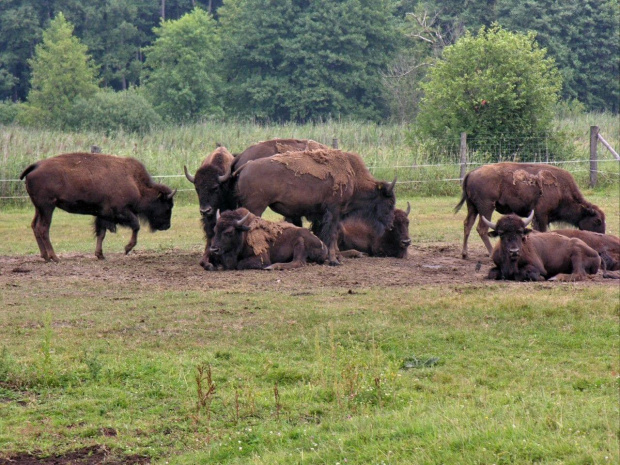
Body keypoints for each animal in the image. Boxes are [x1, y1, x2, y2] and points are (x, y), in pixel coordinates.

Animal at [20, 152, 176, 260]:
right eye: (167, 206)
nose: (167, 226)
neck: (136, 183)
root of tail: (35, 166)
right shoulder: (121, 211)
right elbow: (136, 226)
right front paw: (127, 248)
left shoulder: (102, 214)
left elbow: (101, 234)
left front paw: (100, 255)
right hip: (48, 207)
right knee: (43, 228)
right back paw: (54, 257)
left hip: (39, 208)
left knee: (35, 226)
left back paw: (45, 256)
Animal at [232, 149, 398, 264]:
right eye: (390, 203)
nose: (390, 225)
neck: (353, 177)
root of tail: (246, 166)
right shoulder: (334, 210)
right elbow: (331, 234)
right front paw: (334, 261)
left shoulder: (323, 214)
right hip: (256, 208)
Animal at [456, 162, 604, 258]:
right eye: (597, 220)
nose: (601, 235)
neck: (561, 190)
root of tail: (471, 173)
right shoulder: (541, 215)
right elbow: (542, 231)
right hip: (487, 208)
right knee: (482, 229)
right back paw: (491, 252)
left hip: (472, 208)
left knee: (467, 225)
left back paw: (465, 254)